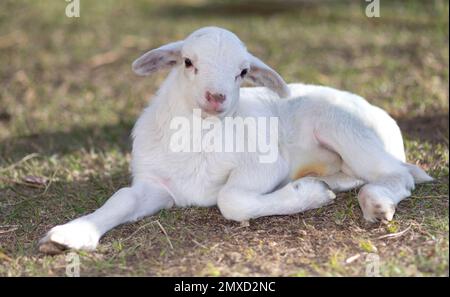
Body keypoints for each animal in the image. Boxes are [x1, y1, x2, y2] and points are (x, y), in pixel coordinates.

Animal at [38, 26, 432, 251]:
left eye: (243, 72)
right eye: (187, 62)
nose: (217, 97)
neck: (198, 137)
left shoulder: (266, 164)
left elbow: (230, 200)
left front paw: (308, 195)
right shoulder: (155, 184)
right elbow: (121, 199)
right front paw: (69, 236)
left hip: (343, 126)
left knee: (397, 175)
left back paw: (375, 202)